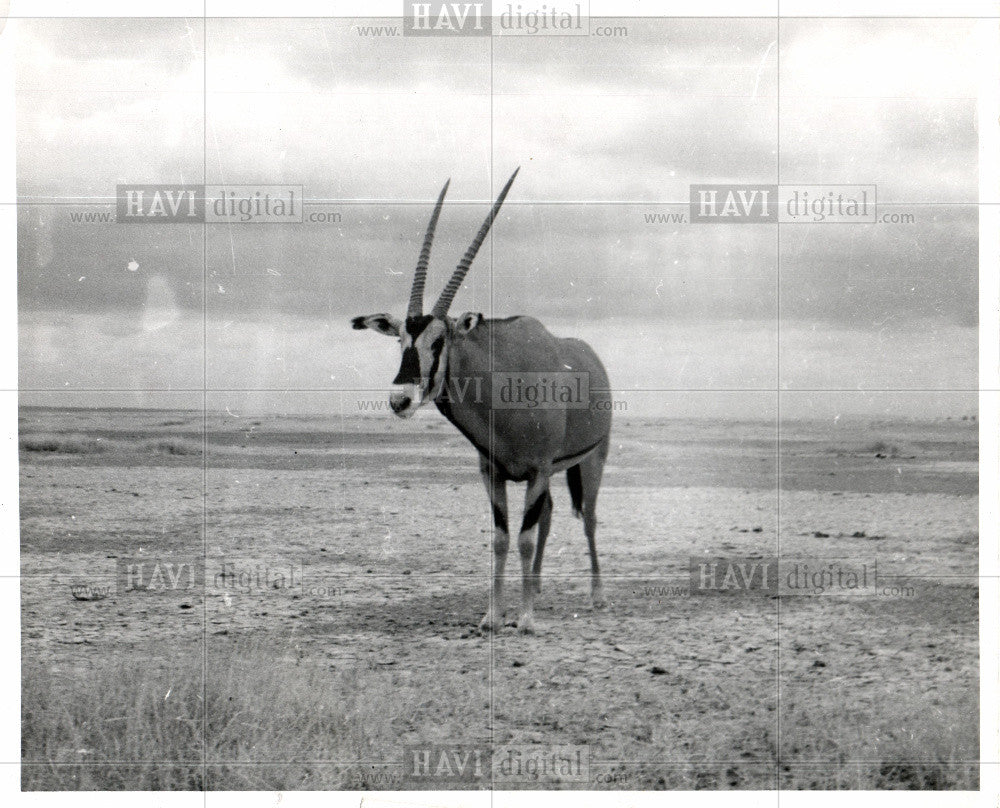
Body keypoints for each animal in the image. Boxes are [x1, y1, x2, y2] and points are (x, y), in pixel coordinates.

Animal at [356, 170, 612, 636]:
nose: (400, 399)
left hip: (591, 461)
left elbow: (524, 538)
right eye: (401, 339)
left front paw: (525, 621)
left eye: (438, 341)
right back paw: (538, 589)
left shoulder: (539, 469)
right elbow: (500, 539)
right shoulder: (493, 473)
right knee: (549, 517)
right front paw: (493, 616)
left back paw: (597, 595)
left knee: (587, 519)